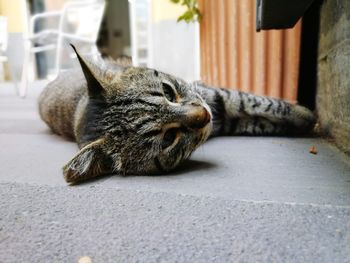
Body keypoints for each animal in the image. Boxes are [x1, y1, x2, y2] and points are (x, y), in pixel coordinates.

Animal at [37, 45, 314, 185]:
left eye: (168, 91)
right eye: (168, 139)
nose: (204, 115)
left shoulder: (211, 94)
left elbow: (253, 101)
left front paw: (303, 114)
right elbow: (255, 115)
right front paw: (306, 119)